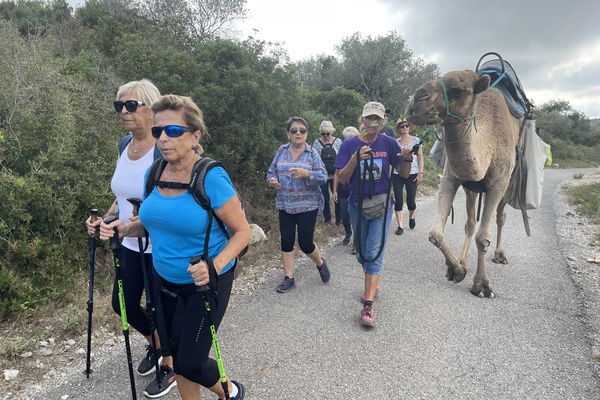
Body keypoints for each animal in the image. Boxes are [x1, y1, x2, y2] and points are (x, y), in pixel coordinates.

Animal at [408, 70, 520, 298]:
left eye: (457, 90)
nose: (417, 99)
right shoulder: (451, 178)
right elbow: (435, 233)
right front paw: (457, 270)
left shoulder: (498, 184)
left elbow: (483, 237)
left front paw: (482, 286)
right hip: (471, 190)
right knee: (469, 223)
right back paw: (462, 260)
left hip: (507, 186)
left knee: (500, 218)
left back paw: (499, 254)